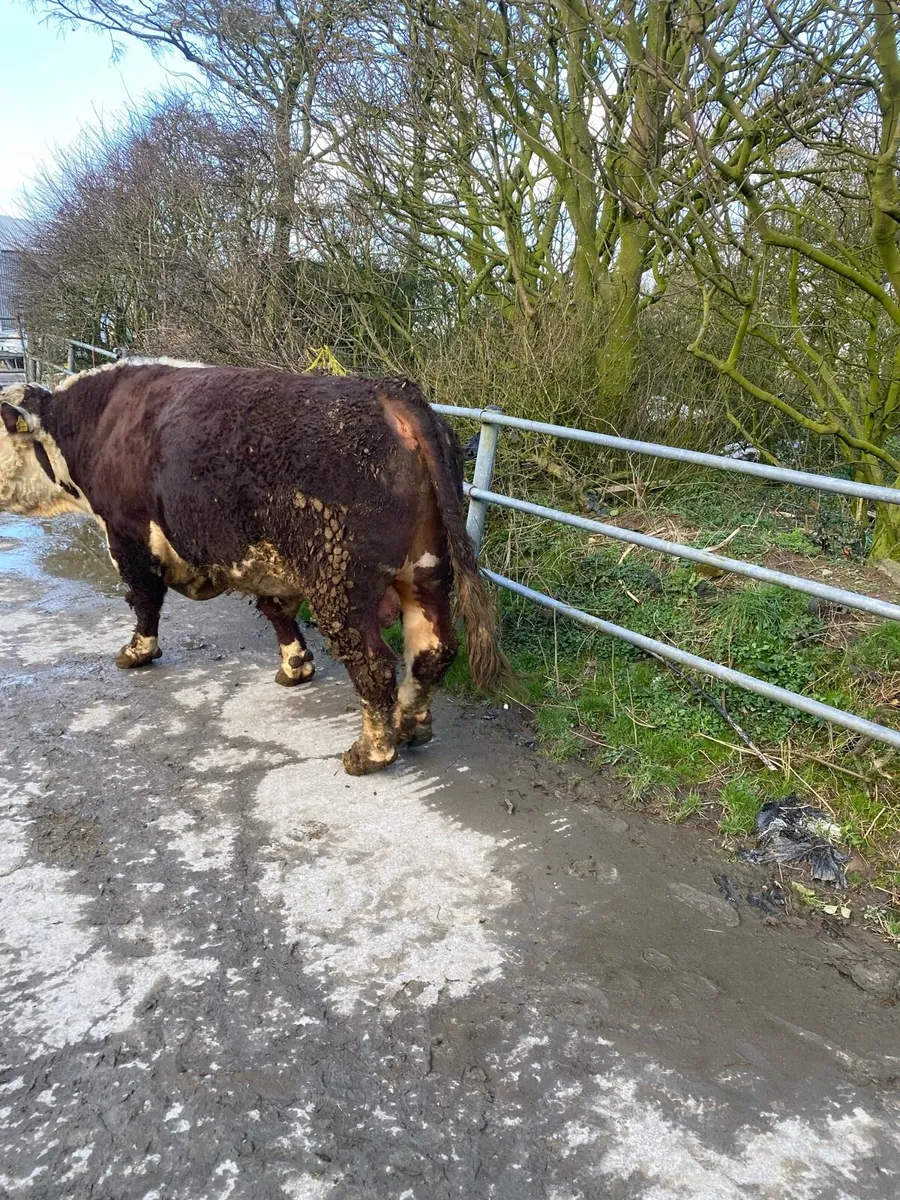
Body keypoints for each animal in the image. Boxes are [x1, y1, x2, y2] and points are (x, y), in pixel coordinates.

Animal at [0, 360, 506, 774]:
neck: (98, 423)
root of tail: (390, 392)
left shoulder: (127, 534)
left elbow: (143, 598)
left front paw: (137, 652)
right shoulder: (268, 559)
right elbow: (276, 609)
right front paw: (295, 665)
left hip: (341, 582)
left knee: (374, 662)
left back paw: (371, 751)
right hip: (425, 571)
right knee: (432, 650)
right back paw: (410, 725)